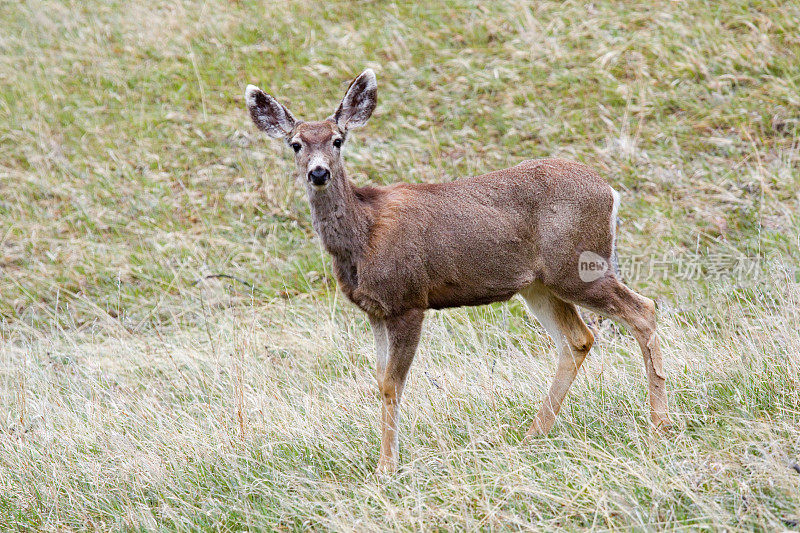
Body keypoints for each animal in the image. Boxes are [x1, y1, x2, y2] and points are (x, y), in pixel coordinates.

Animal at [247, 68, 672, 472]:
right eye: (296, 144)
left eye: (338, 140)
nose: (318, 173)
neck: (364, 236)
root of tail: (611, 192)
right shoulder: (376, 310)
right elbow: (380, 381)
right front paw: (385, 461)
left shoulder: (408, 299)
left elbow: (392, 384)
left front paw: (387, 466)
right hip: (540, 285)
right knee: (578, 339)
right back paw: (533, 435)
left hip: (578, 266)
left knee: (643, 310)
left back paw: (659, 427)